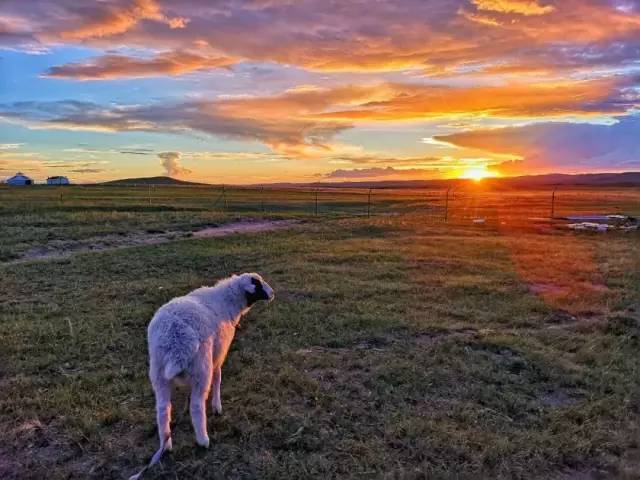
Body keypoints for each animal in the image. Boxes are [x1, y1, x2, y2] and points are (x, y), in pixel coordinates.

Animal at [130, 272, 272, 478]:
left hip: (158, 372)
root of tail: (176, 340)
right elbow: (218, 377)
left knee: (163, 409)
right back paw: (203, 440)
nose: (272, 293)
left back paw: (166, 443)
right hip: (201, 368)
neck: (227, 302)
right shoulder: (218, 354)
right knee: (196, 406)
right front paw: (217, 406)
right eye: (258, 284)